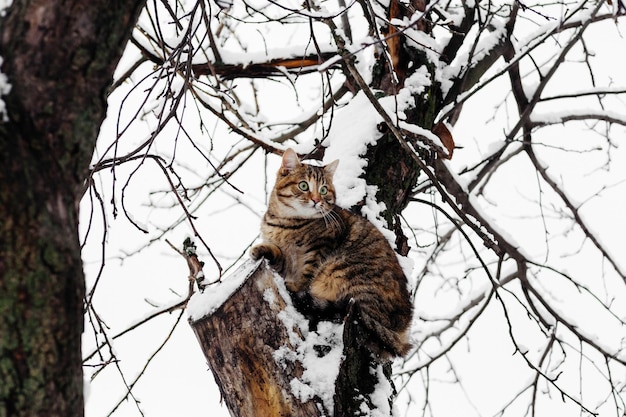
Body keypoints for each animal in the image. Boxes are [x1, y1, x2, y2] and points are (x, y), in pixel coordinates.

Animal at [251, 147, 412, 358]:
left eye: (323, 190)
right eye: (304, 185)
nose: (316, 200)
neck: (285, 223)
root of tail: (402, 329)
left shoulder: (319, 249)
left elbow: (306, 275)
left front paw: (296, 285)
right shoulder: (285, 259)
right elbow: (277, 254)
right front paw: (262, 249)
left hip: (343, 272)